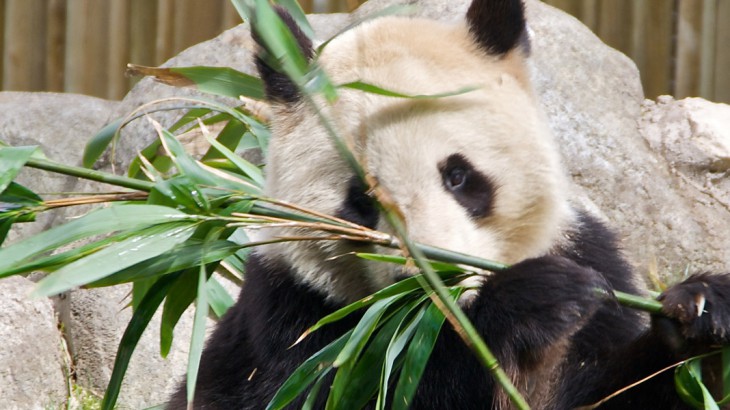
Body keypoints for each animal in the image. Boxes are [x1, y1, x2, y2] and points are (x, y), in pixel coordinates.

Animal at [168, 0, 728, 410]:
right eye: (362, 198)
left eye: (459, 176)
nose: (435, 276)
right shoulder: (291, 314)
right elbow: (361, 386)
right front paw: (531, 301)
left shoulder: (591, 270)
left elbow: (609, 389)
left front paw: (700, 309)